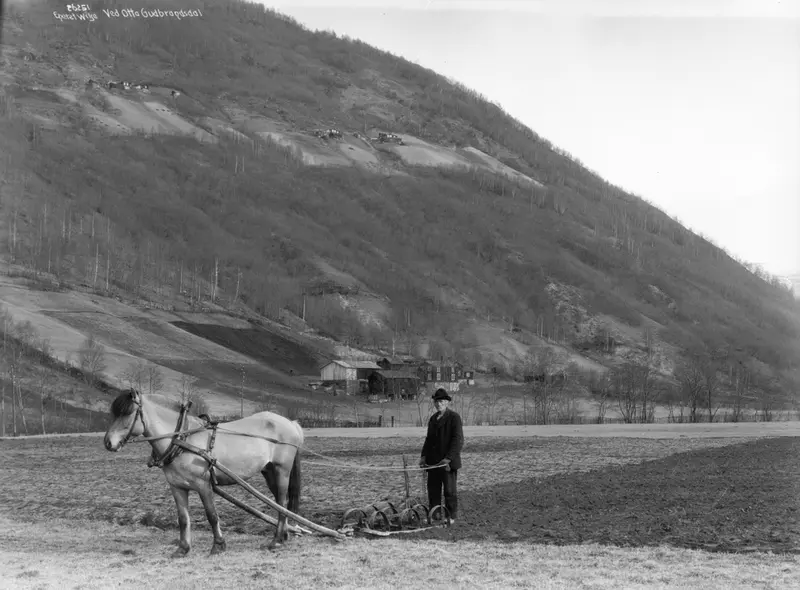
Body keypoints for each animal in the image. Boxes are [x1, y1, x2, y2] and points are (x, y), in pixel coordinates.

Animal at [103, 390, 304, 556]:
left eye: (128, 413)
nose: (108, 442)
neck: (182, 440)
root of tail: (290, 422)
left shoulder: (203, 485)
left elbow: (212, 515)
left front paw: (218, 545)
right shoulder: (177, 487)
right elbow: (183, 518)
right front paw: (183, 548)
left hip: (281, 470)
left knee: (282, 502)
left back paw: (276, 540)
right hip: (268, 471)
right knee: (279, 503)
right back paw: (283, 535)